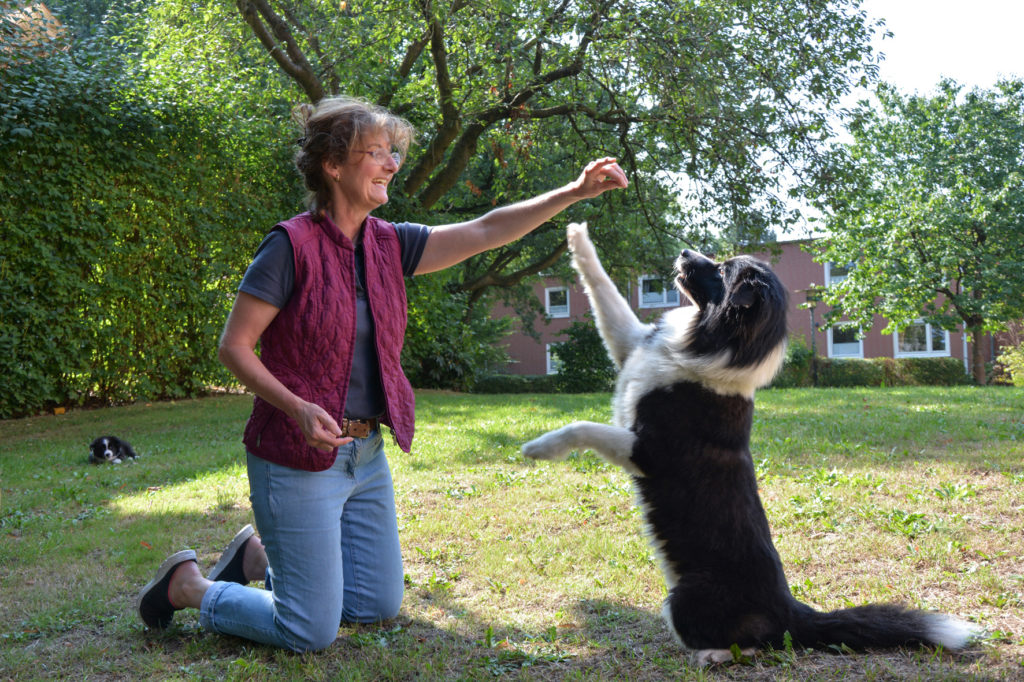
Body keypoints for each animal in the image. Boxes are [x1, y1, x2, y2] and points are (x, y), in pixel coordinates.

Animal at [524, 223, 978, 663]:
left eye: (723, 270)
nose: (684, 251)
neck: (719, 343)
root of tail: (793, 611)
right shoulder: (629, 343)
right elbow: (604, 289)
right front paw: (577, 234)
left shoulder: (648, 451)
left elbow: (582, 426)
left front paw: (540, 448)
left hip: (685, 598)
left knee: (755, 644)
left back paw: (712, 655)